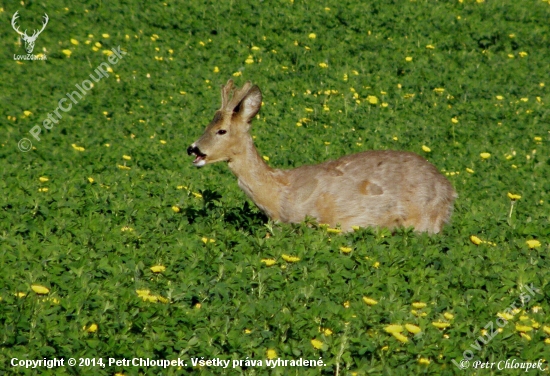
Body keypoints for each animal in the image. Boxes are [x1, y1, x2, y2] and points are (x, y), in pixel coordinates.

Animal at [188, 79, 460, 232]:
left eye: (221, 130)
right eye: (207, 125)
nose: (193, 148)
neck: (280, 193)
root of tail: (449, 190)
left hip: (423, 220)